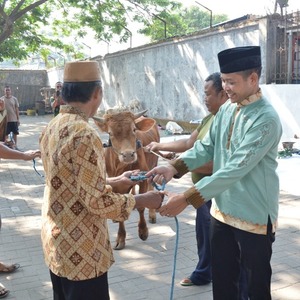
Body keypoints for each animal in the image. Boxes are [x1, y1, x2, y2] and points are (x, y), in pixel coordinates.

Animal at [93, 109, 159, 250]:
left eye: (134, 129)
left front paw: (143, 231)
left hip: (153, 165)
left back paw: (152, 214)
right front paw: (120, 237)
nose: (128, 155)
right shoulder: (115, 182)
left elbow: (142, 207)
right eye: (110, 133)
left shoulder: (143, 178)